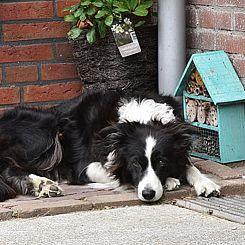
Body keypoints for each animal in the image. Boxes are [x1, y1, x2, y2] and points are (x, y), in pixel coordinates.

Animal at [0, 89, 220, 202]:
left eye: (162, 162)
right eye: (135, 163)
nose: (148, 195)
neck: (142, 120)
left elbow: (189, 164)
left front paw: (205, 183)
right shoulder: (83, 167)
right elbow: (117, 174)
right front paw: (170, 181)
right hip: (46, 132)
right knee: (9, 168)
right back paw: (42, 184)